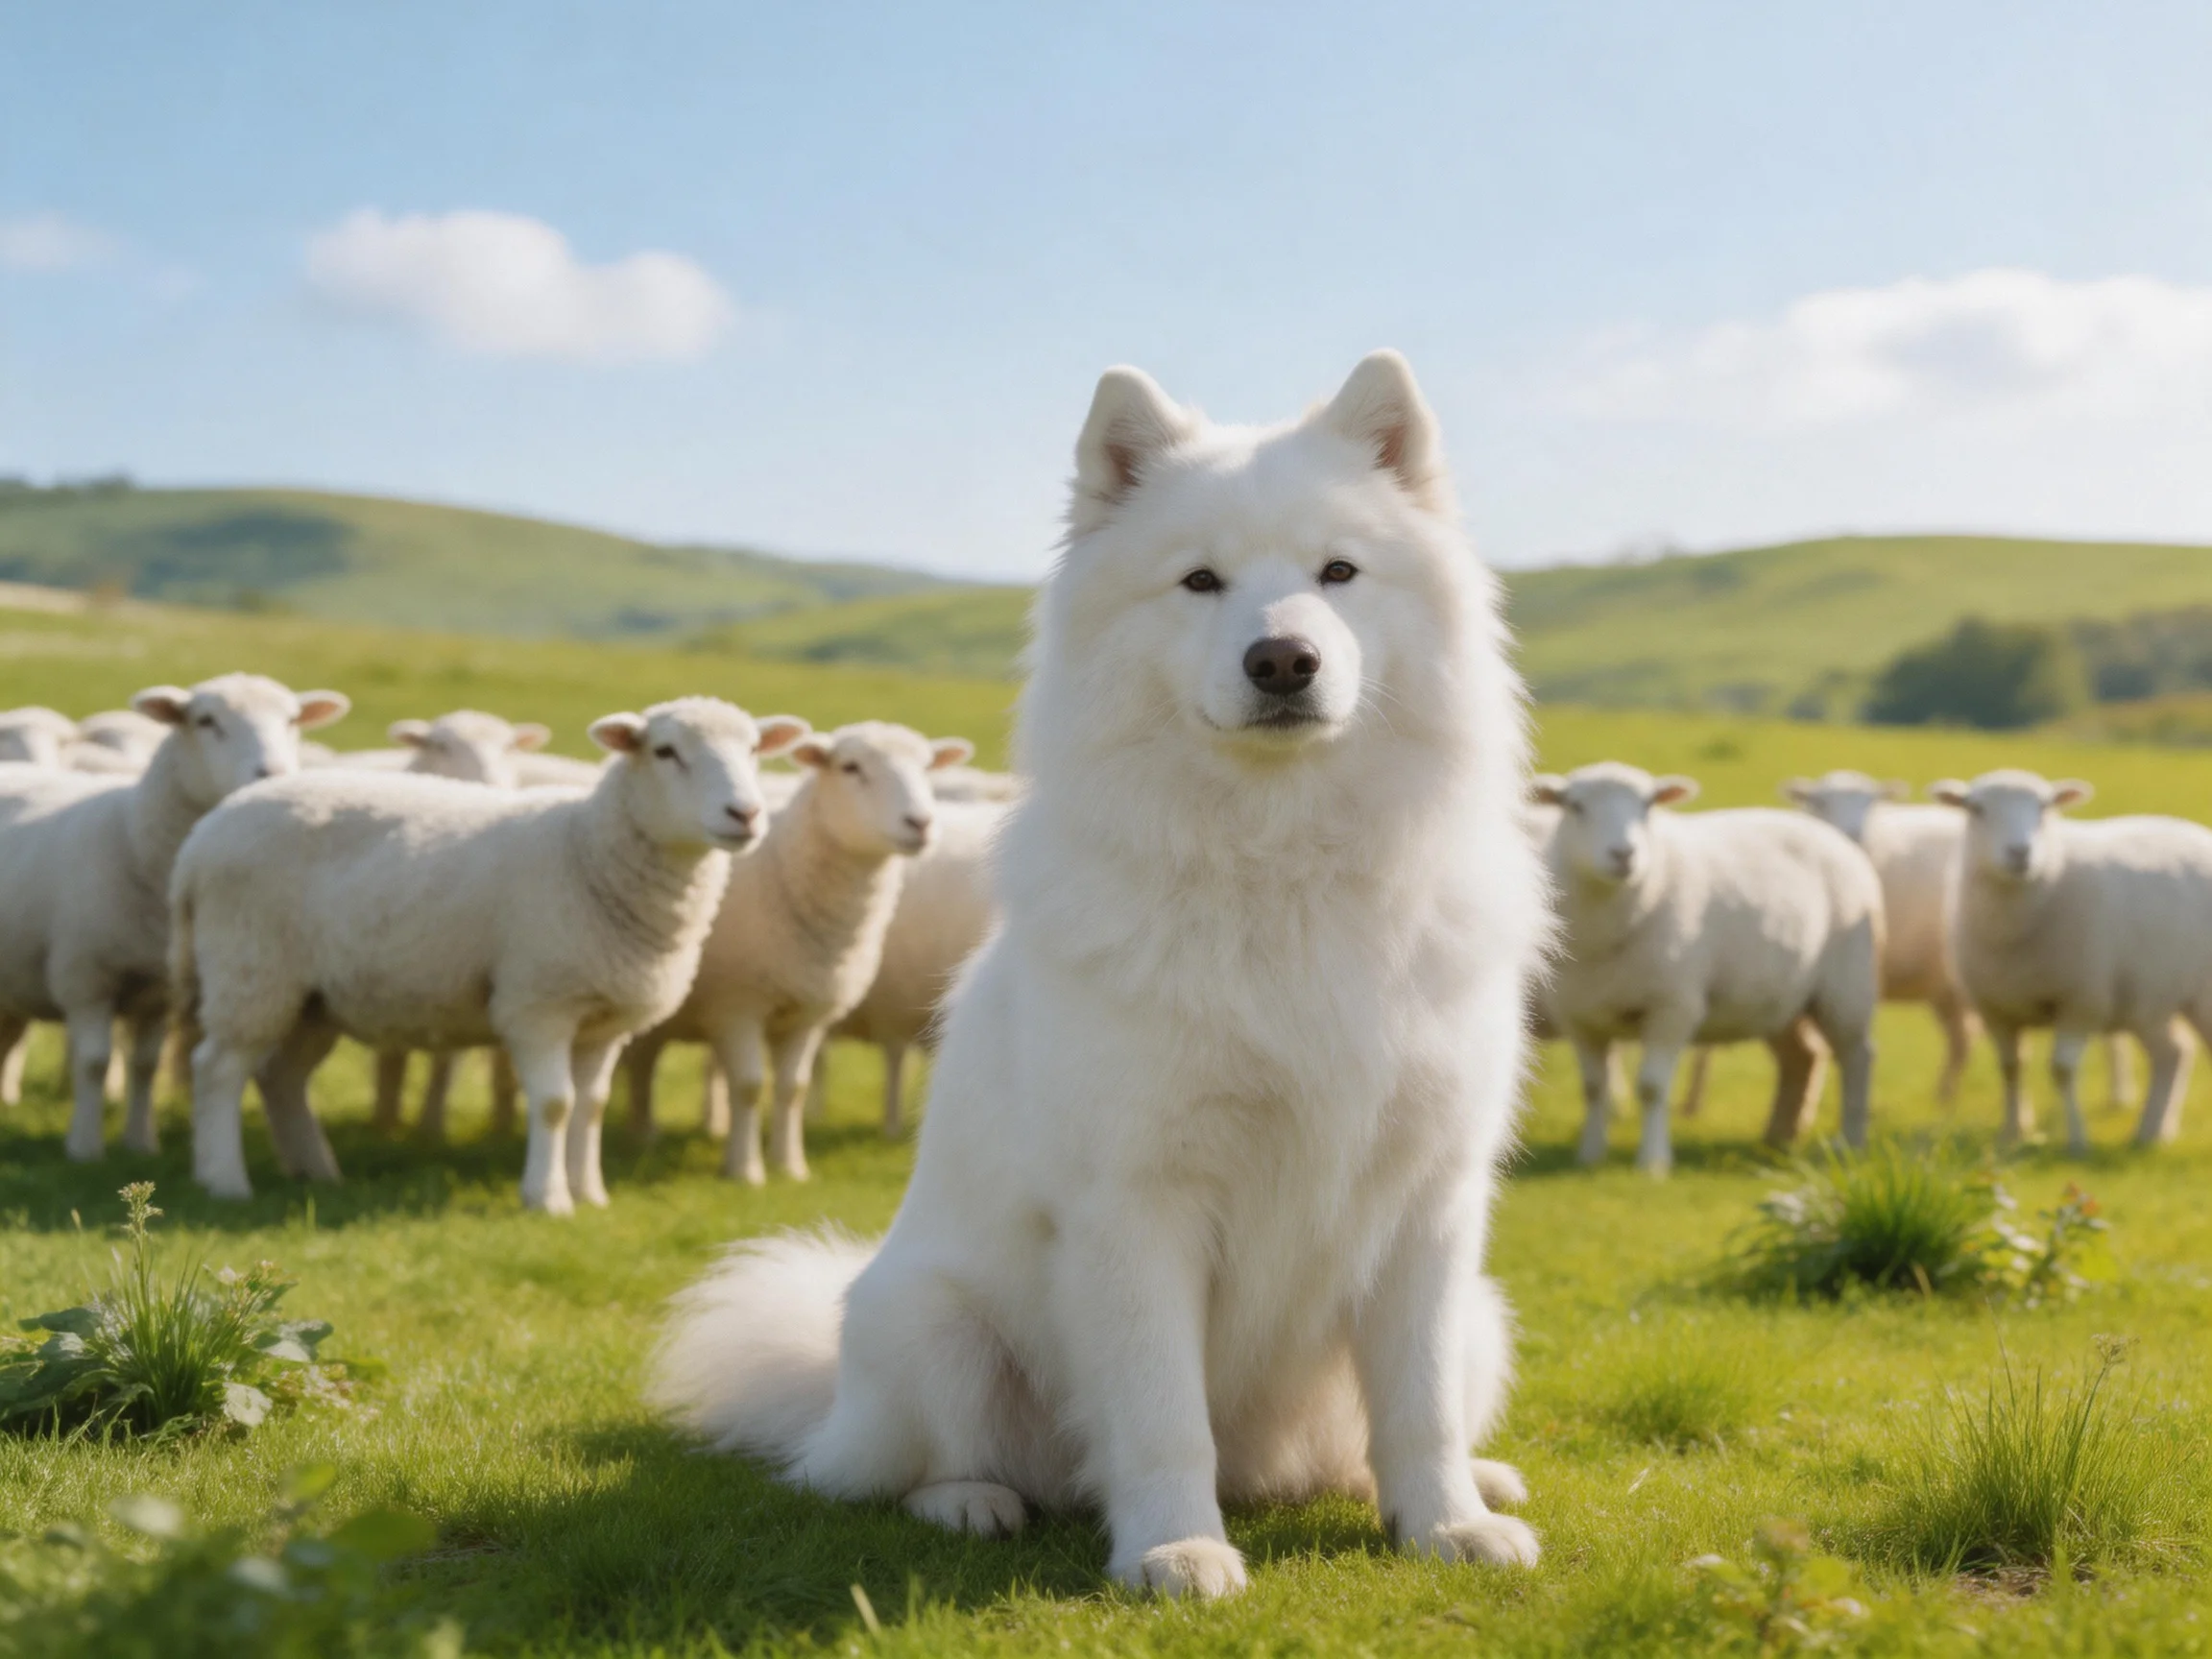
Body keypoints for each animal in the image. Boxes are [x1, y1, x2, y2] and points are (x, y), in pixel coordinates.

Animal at [0, 675, 350, 1160]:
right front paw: (85, 1147)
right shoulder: (84, 979)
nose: (273, 775)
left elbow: (144, 1065)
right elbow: (93, 1064)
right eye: (205, 721)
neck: (132, 837)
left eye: (292, 720)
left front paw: (140, 1143)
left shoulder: (160, 991)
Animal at [172, 698, 805, 1212]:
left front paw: (590, 1193)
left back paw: (316, 1171)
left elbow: (592, 1106)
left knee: (280, 1075)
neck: (586, 850)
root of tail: (202, 838)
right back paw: (224, 1181)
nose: (745, 814)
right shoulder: (538, 1003)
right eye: (666, 751)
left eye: (754, 749)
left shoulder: (605, 1019)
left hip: (312, 996)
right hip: (250, 967)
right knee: (218, 1069)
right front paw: (548, 1199)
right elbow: (554, 1103)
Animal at [622, 721, 971, 1182]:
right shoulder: (736, 1004)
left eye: (927, 767)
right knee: (642, 1063)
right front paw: (745, 1170)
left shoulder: (809, 1011)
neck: (781, 871)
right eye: (850, 767)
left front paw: (790, 1167)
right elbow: (750, 1085)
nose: (921, 823)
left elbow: (793, 1088)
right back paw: (644, 1134)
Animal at [1536, 761, 1884, 1176]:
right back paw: (1778, 1139)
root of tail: (1828, 834)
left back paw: (1851, 1141)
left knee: (1857, 1056)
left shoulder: (1674, 1005)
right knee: (1802, 1057)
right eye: (1575, 806)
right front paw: (1589, 1156)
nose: (1623, 854)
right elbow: (1593, 1088)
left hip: (1847, 985)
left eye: (1648, 805)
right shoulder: (1579, 1015)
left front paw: (1652, 1163)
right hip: (1777, 996)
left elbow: (1651, 1086)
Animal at [1930, 769, 2212, 1152]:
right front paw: (2012, 1134)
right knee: (2173, 1054)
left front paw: (2077, 1141)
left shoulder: (2082, 1001)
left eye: (2045, 806)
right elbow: (2010, 1067)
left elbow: (2062, 1071)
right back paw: (2150, 1133)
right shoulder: (1996, 1009)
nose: (2019, 852)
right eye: (1976, 809)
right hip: (2149, 999)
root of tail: (2198, 834)